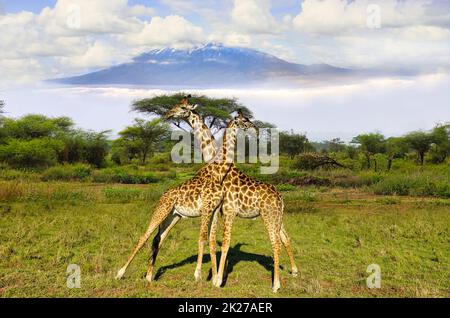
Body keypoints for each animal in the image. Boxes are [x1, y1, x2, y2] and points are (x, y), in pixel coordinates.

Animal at [114, 105, 255, 284]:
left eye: (182, 107)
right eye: (245, 120)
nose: (256, 128)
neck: (218, 171)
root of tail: (163, 195)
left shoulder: (215, 210)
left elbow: (211, 241)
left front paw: (215, 278)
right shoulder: (208, 209)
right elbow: (203, 238)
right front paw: (200, 275)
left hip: (173, 216)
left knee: (158, 239)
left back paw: (149, 276)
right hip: (163, 211)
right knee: (144, 237)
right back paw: (120, 273)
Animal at [166, 97, 298, 294]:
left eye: (182, 107)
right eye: (176, 105)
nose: (168, 114)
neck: (215, 160)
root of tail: (280, 198)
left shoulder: (227, 210)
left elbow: (222, 242)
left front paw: (217, 279)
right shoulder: (221, 211)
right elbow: (217, 242)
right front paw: (218, 275)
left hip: (268, 216)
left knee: (275, 242)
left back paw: (276, 284)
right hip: (278, 217)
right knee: (285, 238)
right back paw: (294, 271)